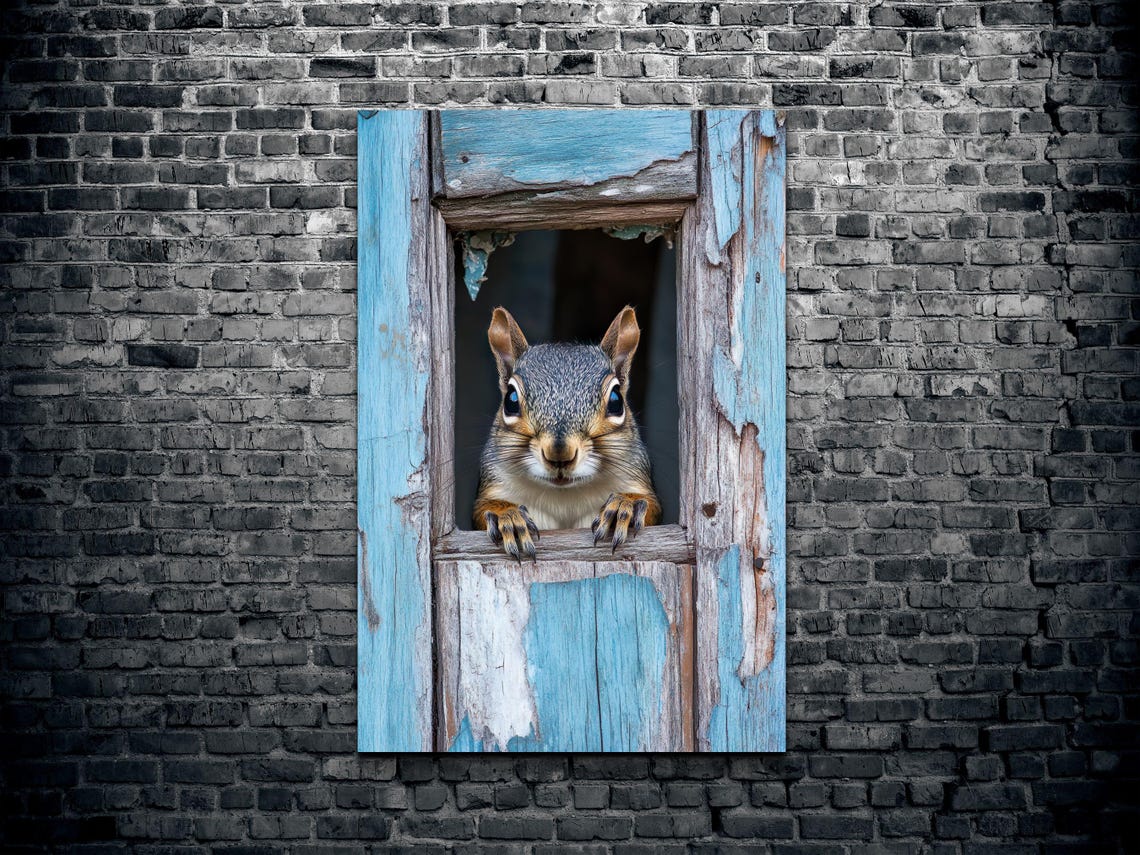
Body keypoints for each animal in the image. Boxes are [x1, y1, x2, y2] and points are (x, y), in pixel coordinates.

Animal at [473, 305, 662, 560]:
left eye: (616, 401)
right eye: (510, 400)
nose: (559, 454)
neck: (564, 497)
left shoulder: (637, 477)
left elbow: (651, 507)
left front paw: (627, 506)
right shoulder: (493, 480)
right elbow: (483, 510)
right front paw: (507, 516)